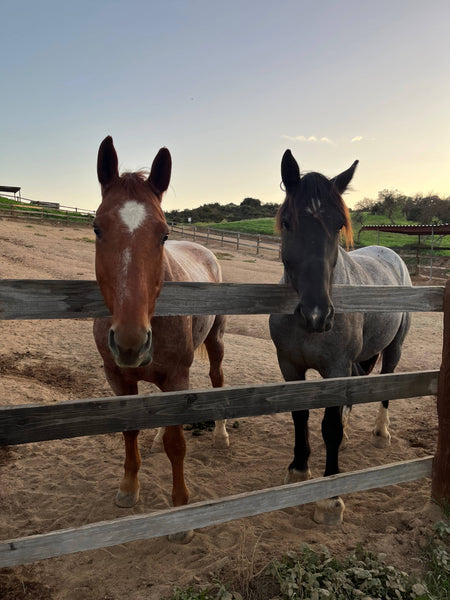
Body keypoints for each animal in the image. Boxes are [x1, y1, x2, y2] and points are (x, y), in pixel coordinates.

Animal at [93, 138, 227, 540]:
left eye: (163, 234)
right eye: (97, 228)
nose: (130, 341)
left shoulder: (177, 377)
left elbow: (176, 443)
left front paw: (180, 513)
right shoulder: (118, 377)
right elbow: (130, 430)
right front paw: (128, 489)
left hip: (215, 341)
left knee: (217, 378)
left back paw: (221, 435)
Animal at [268, 150, 414, 524]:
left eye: (337, 225)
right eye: (287, 222)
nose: (317, 315)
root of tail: (390, 253)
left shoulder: (335, 369)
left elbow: (329, 426)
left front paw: (329, 499)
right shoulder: (290, 366)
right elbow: (300, 415)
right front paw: (298, 469)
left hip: (394, 348)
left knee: (385, 385)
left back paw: (380, 434)